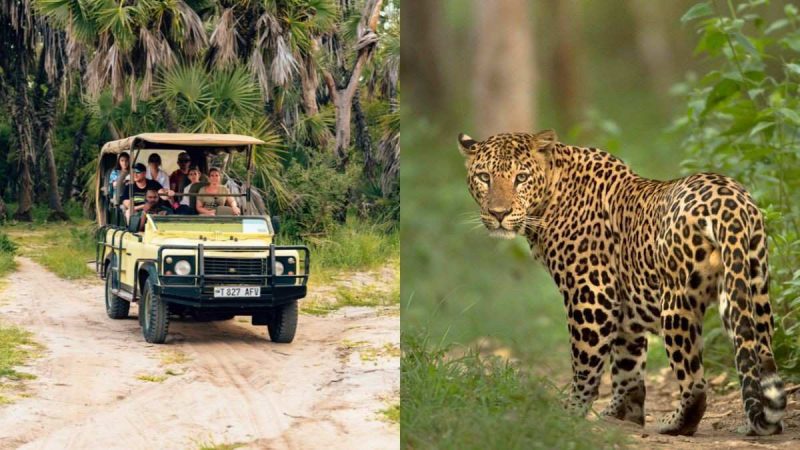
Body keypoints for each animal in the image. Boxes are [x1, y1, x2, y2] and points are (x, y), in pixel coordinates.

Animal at [457, 129, 786, 436]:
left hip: (677, 302)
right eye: (485, 177)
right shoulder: (627, 305)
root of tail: (730, 204)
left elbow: (585, 361)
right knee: (757, 355)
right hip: (751, 287)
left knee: (695, 382)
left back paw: (675, 424)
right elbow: (627, 364)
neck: (550, 196)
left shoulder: (592, 295)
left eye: (521, 178)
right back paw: (759, 424)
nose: (499, 213)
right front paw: (622, 415)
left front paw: (571, 412)